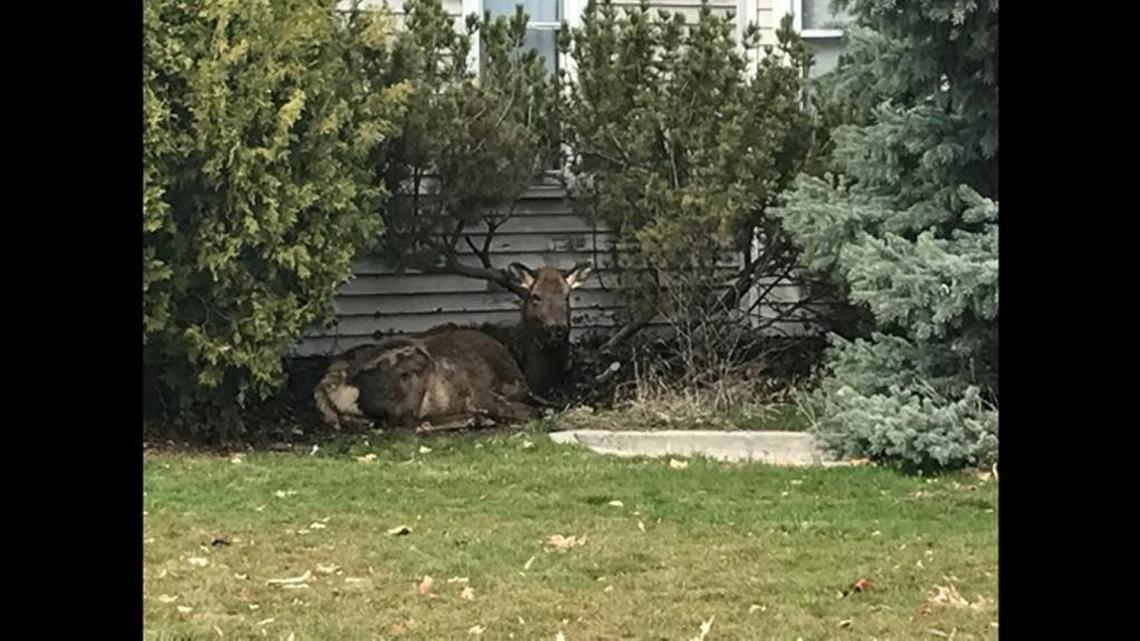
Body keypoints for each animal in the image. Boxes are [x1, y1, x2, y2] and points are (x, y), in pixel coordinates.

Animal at [313, 261, 592, 431]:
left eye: (567, 296)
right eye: (535, 296)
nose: (556, 328)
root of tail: (328, 389)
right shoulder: (482, 391)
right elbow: (535, 412)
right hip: (412, 366)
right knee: (408, 422)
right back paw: (474, 418)